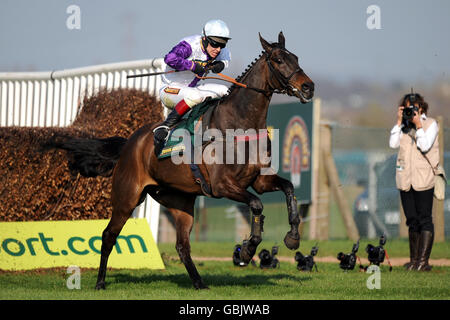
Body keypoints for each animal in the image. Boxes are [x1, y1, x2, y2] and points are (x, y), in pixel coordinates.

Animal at [52, 31, 314, 288]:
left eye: (296, 58)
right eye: (278, 60)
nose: (308, 87)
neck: (238, 124)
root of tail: (129, 143)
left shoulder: (258, 180)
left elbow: (288, 188)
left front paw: (293, 237)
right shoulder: (222, 186)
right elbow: (257, 204)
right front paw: (248, 250)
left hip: (180, 201)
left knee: (182, 245)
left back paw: (199, 283)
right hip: (127, 198)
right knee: (108, 235)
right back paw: (100, 282)